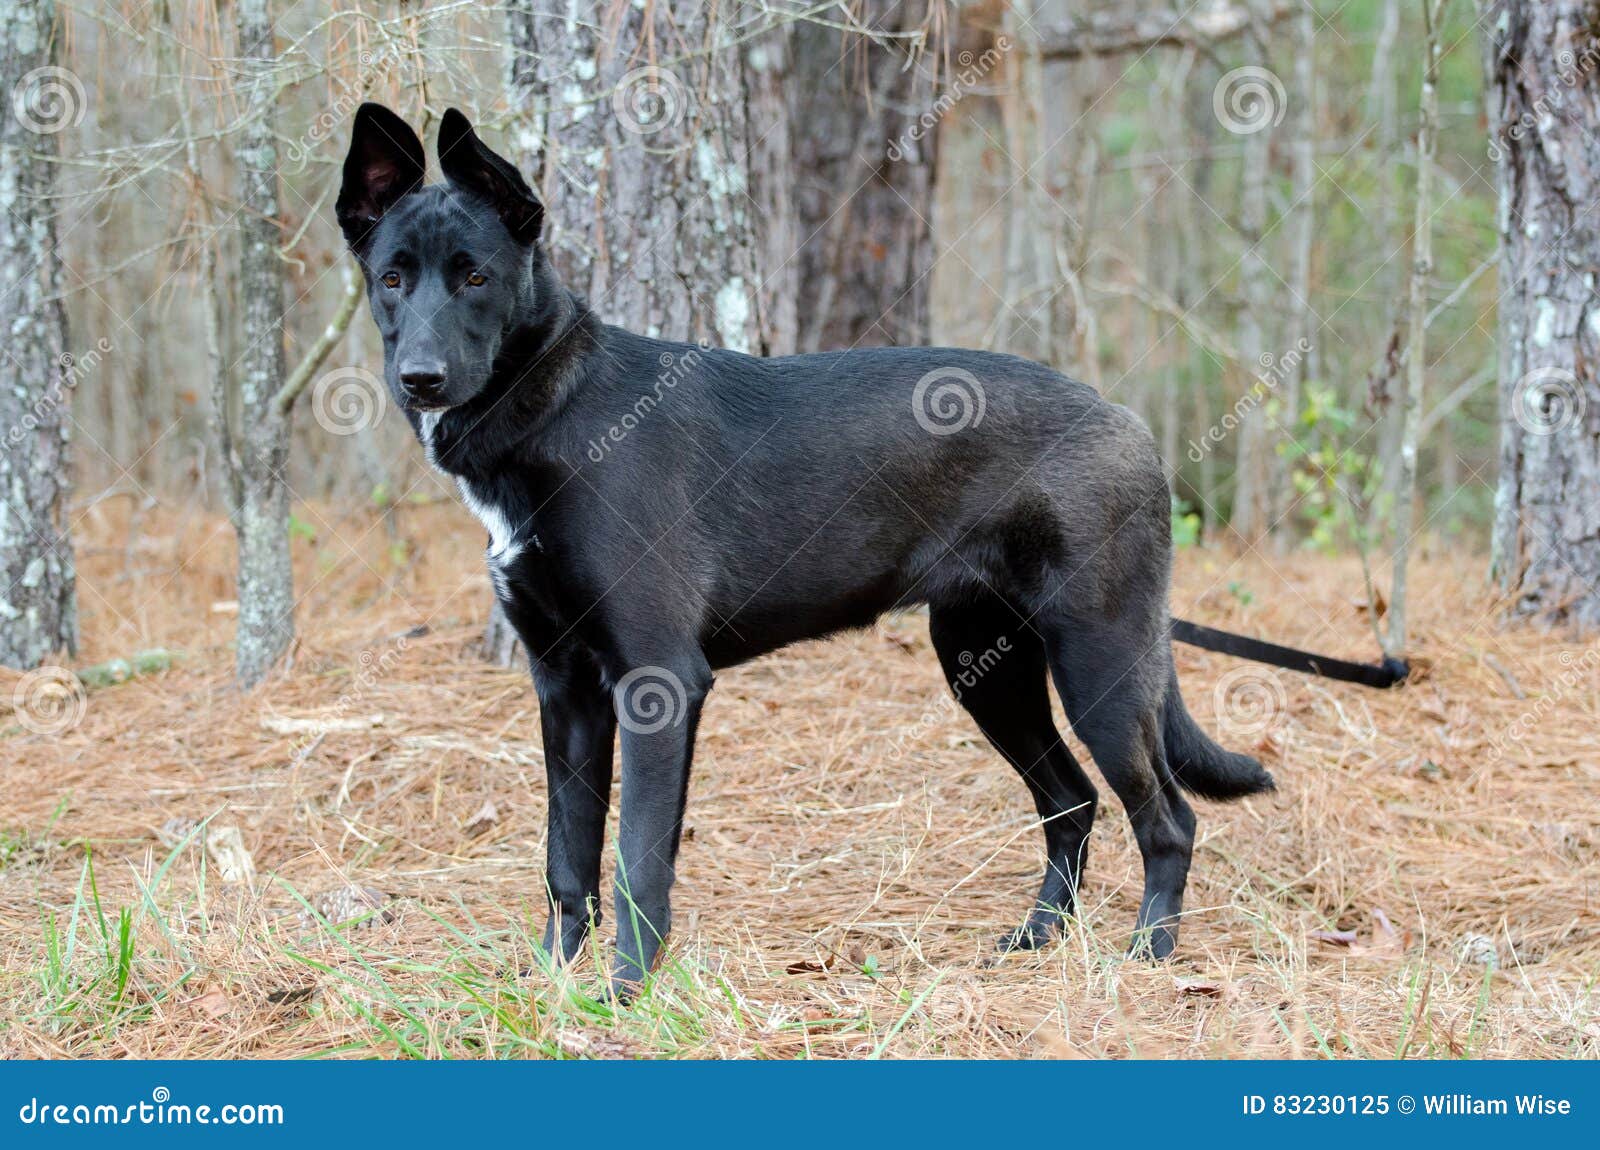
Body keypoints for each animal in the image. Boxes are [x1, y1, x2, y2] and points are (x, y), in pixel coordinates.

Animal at [337, 105, 1273, 991]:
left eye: (477, 277)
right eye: (392, 279)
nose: (419, 379)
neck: (560, 413)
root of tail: (1129, 423)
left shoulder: (658, 681)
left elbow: (638, 858)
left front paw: (626, 993)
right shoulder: (564, 687)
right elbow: (568, 859)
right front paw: (553, 982)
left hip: (1098, 663)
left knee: (1168, 819)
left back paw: (1148, 954)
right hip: (985, 664)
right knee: (1071, 803)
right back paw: (1037, 937)